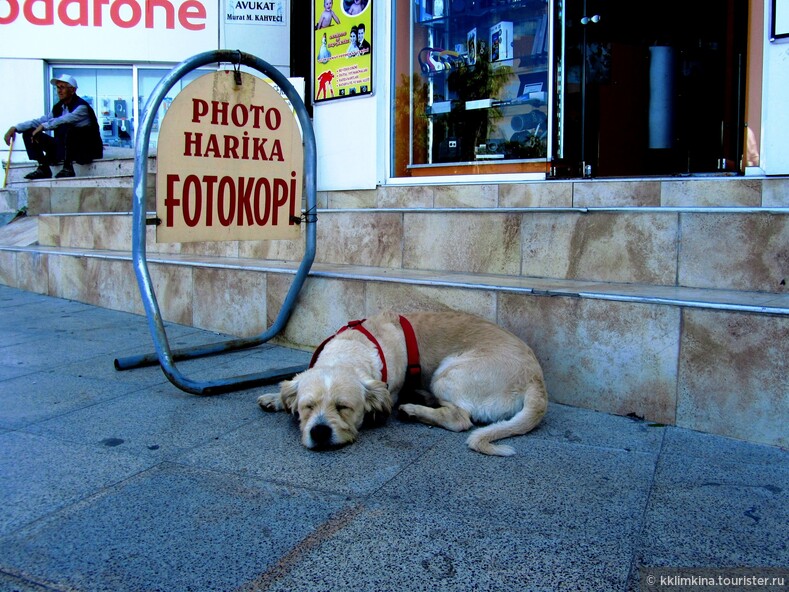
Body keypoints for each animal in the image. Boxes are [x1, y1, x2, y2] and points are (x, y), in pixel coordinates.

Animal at [258, 310, 548, 458]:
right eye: (307, 407)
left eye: (344, 408)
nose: (319, 432)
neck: (352, 347)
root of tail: (536, 379)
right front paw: (275, 397)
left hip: (447, 373)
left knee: (460, 419)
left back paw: (414, 410)